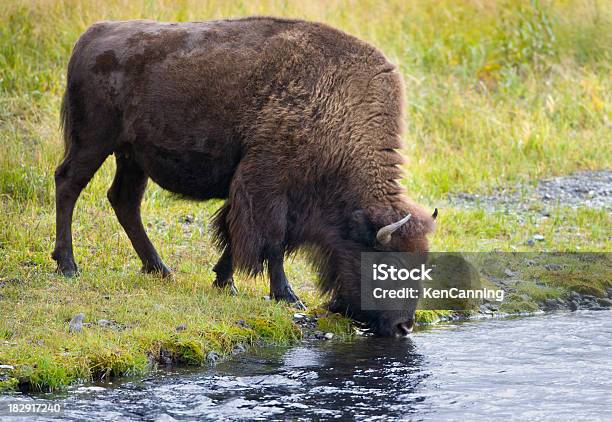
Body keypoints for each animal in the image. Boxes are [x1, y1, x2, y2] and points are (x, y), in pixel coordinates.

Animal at [52, 18, 436, 338]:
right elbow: (272, 242)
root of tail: (91, 35)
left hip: (132, 157)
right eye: (385, 266)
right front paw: (288, 297)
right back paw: (68, 265)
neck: (340, 111)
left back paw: (160, 269)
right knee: (68, 184)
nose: (404, 327)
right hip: (94, 142)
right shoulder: (267, 184)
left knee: (124, 201)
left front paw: (225, 282)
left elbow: (233, 233)